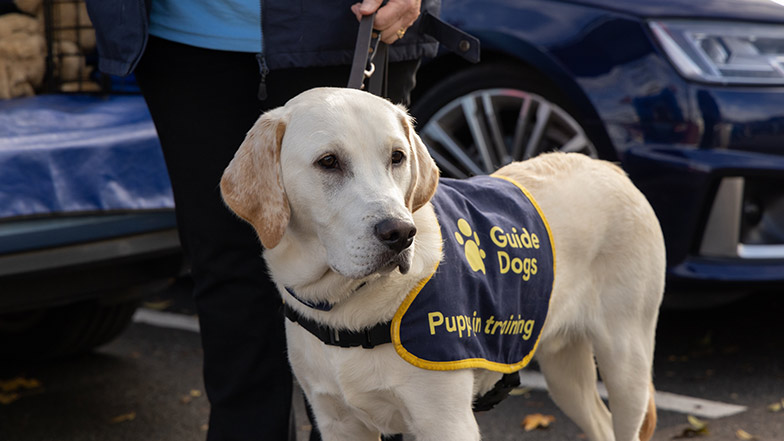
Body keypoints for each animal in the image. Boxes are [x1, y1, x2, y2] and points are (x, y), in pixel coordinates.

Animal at [219, 87, 660, 440]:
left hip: (627, 362)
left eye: (397, 157)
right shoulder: (337, 422)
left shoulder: (446, 422)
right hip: (563, 367)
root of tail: (609, 167)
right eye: (328, 162)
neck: (345, 309)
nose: (400, 233)